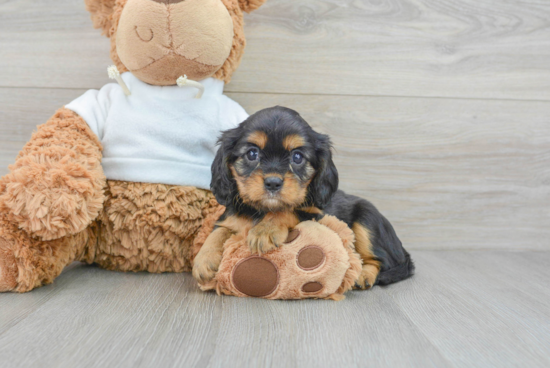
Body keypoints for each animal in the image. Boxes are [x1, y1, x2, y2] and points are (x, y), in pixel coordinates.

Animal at [194, 105, 414, 288]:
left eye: (297, 157)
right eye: (252, 154)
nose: (273, 182)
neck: (262, 210)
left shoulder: (315, 215)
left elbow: (287, 211)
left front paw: (265, 230)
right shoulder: (230, 217)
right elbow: (219, 230)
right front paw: (203, 259)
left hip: (367, 220)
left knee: (380, 260)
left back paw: (363, 275)